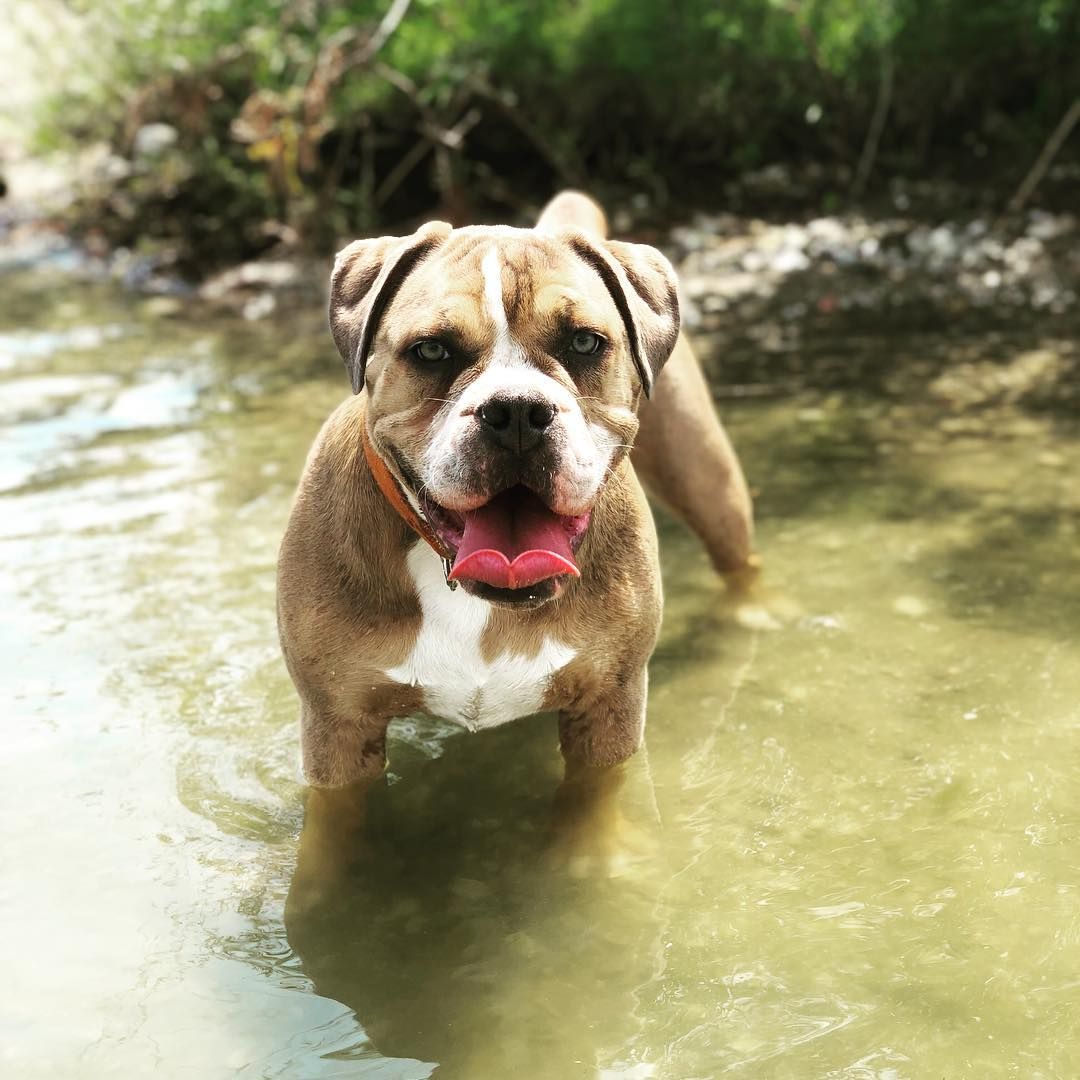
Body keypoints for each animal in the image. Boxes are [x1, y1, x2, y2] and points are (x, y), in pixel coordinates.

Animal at [276, 190, 751, 794]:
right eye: (431, 351)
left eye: (584, 342)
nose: (518, 411)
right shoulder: (337, 729)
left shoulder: (608, 713)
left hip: (708, 484)